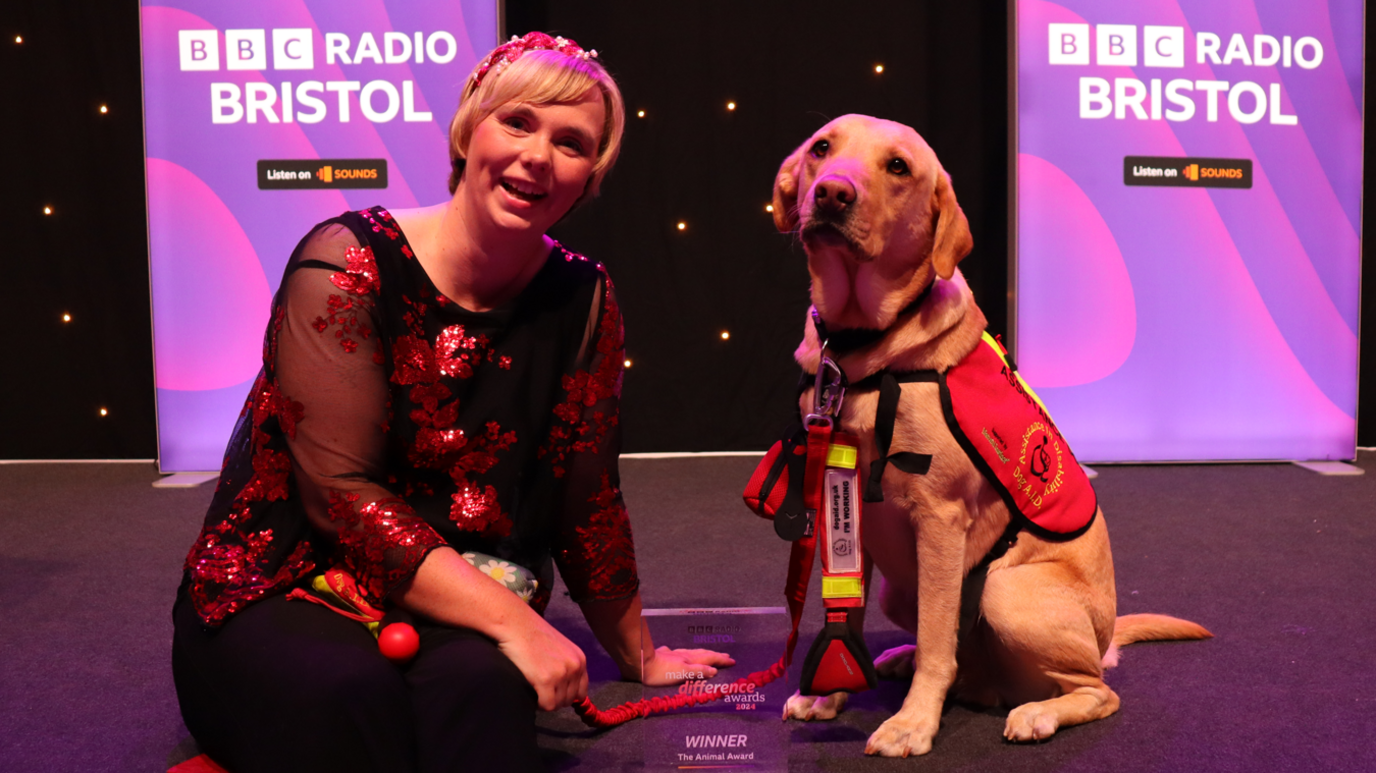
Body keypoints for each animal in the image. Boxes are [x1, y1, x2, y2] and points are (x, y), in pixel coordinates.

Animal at [770, 114, 1210, 753]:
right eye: (822, 148)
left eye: (898, 166)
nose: (831, 193)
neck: (866, 352)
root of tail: (1104, 640)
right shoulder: (840, 504)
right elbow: (845, 611)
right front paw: (828, 693)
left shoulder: (939, 518)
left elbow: (938, 642)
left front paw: (911, 722)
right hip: (901, 589)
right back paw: (906, 662)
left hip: (1006, 592)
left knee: (1094, 689)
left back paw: (1036, 711)